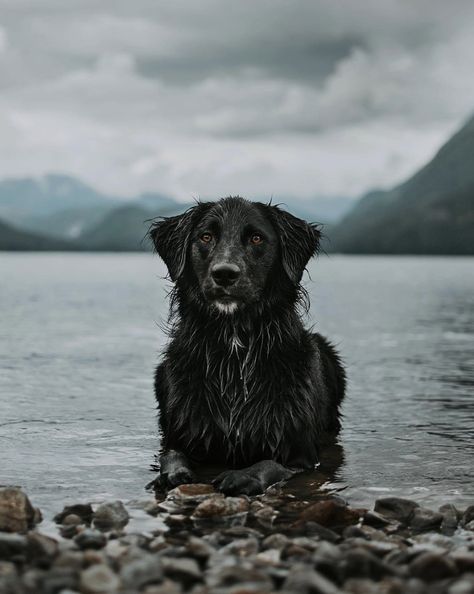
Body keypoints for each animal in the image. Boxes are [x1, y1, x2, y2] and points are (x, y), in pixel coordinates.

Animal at [150, 197, 346, 492]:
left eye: (256, 238)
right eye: (206, 237)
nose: (224, 274)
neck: (234, 350)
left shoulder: (301, 453)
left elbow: (270, 463)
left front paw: (243, 476)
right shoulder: (180, 431)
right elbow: (171, 454)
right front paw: (173, 473)